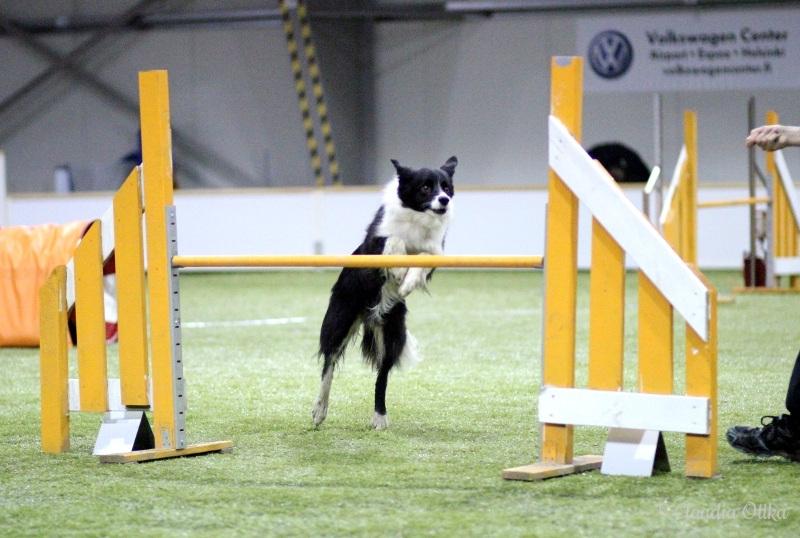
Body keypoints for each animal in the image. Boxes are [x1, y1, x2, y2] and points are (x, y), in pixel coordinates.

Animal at [314, 155, 460, 428]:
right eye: (426, 187)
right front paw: (400, 269)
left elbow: (422, 258)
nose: (445, 200)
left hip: (393, 332)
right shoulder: (375, 242)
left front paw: (408, 281)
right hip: (339, 321)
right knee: (328, 365)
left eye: (446, 187)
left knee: (381, 378)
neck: (418, 217)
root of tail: (368, 314)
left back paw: (380, 417)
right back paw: (319, 410)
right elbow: (394, 239)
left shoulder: (435, 253)